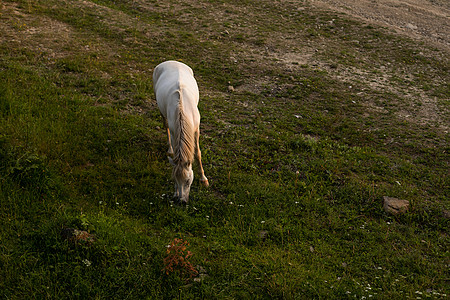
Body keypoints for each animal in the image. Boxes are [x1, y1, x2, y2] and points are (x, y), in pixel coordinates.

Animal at [153, 59, 209, 203]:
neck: (183, 110)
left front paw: (204, 180)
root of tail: (171, 61)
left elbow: (197, 153)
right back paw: (170, 149)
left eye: (188, 181)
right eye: (174, 181)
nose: (181, 201)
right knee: (165, 125)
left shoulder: (196, 129)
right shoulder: (174, 132)